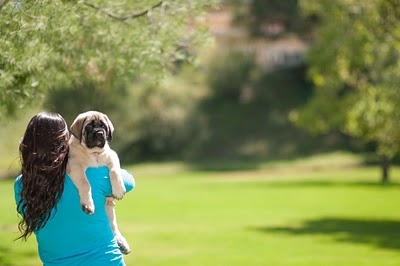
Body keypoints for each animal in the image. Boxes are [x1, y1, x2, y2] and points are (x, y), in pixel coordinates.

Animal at [67, 110, 130, 254]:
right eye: (89, 126)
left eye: (104, 127)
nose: (100, 133)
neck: (94, 153)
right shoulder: (75, 165)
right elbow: (85, 183)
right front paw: (88, 204)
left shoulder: (112, 156)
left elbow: (114, 170)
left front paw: (118, 189)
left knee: (113, 226)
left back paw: (122, 242)